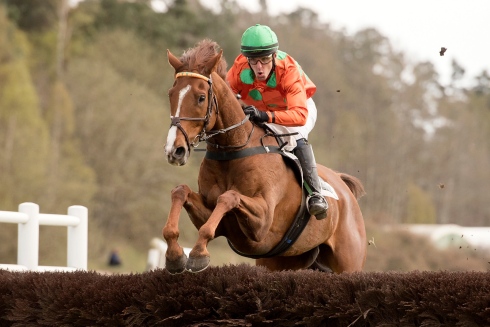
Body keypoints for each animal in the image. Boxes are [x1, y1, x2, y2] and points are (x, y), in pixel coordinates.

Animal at [163, 39, 366, 276]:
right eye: (171, 93)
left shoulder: (262, 222)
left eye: (201, 97)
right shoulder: (218, 218)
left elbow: (229, 197)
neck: (233, 150)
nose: (174, 150)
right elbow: (181, 191)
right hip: (282, 261)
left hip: (348, 262)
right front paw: (175, 256)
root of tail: (343, 186)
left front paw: (197, 255)